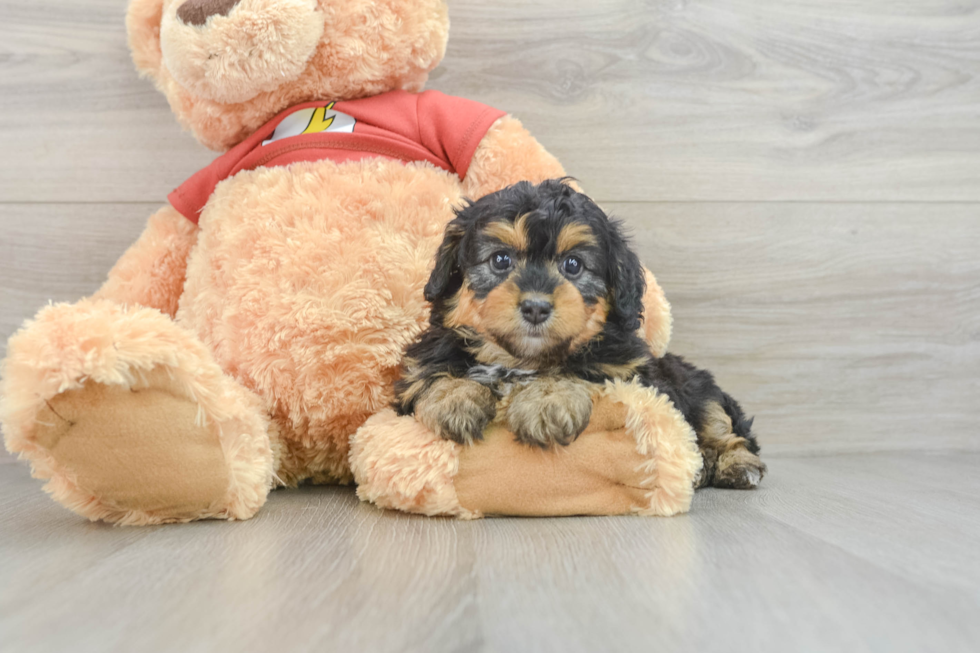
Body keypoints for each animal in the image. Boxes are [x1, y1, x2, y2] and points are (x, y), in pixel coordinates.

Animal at [394, 180, 768, 488]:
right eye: (500, 260)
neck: (520, 359)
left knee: (725, 430)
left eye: (573, 265)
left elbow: (579, 372)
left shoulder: (634, 378)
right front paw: (454, 398)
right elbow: (433, 375)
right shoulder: (415, 375)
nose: (535, 307)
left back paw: (734, 465)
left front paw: (547, 400)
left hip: (703, 392)